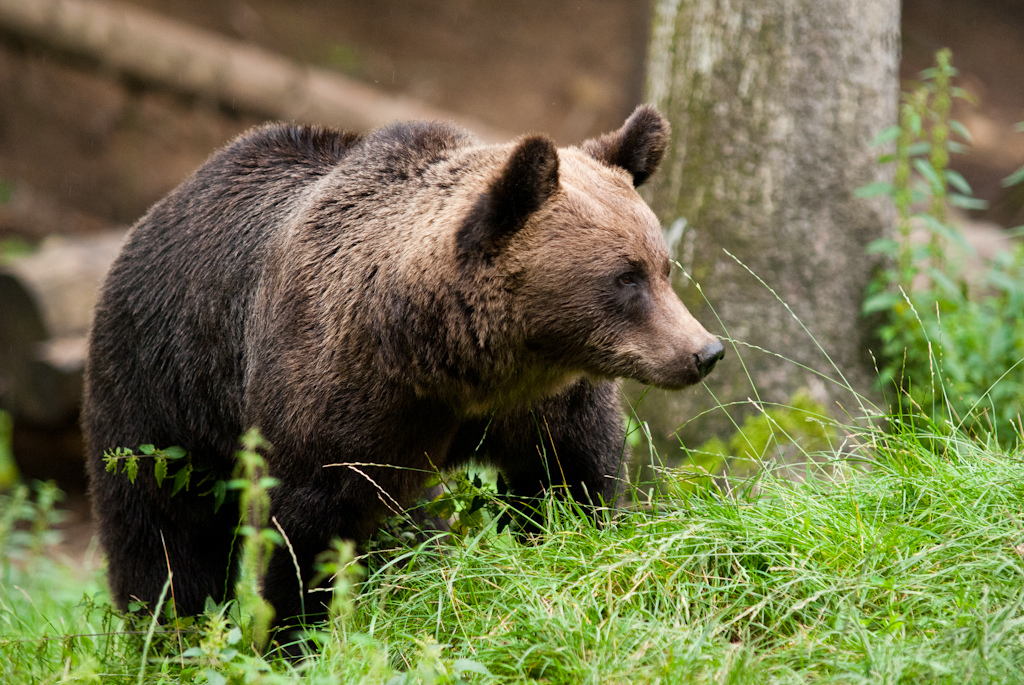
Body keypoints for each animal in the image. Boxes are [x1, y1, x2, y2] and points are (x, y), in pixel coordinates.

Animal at [81, 105, 720, 630]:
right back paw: (168, 630)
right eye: (626, 277)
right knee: (160, 524)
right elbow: (302, 534)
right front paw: (291, 636)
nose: (704, 352)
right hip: (163, 381)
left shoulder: (541, 405)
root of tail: (160, 209)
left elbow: (568, 479)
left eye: (663, 266)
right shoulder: (330, 404)